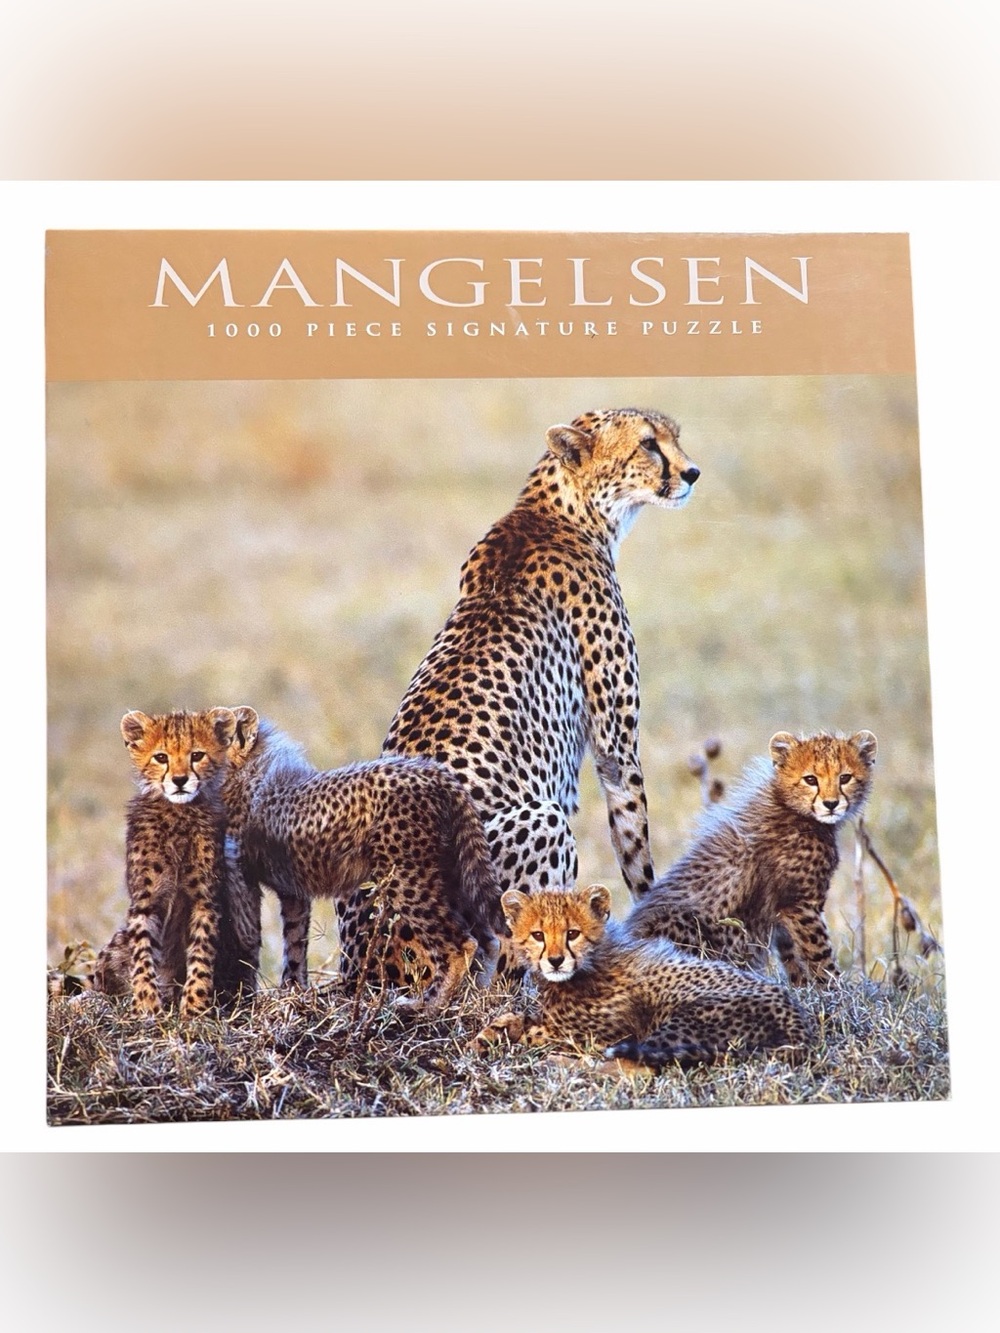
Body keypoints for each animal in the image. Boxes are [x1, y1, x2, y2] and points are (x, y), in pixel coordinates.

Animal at [92, 709, 253, 1018]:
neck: (178, 813)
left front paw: (194, 1008)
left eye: (197, 755)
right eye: (161, 757)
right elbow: (143, 954)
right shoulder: (146, 901)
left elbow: (201, 953)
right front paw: (146, 1005)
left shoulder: (205, 900)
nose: (179, 780)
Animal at [220, 706, 503, 1013]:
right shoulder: (291, 887)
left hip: (406, 876)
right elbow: (294, 940)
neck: (246, 770)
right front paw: (293, 991)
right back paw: (475, 998)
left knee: (459, 944)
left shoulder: (242, 877)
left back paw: (425, 1005)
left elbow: (247, 937)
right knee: (489, 940)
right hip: (451, 872)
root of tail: (435, 772)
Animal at [364, 408, 700, 976]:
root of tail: (369, 966)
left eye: (674, 436)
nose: (692, 472)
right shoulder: (615, 746)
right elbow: (635, 846)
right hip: (541, 824)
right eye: (649, 445)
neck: (564, 512)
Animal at [476, 884, 812, 1069]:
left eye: (572, 933)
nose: (556, 961)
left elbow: (533, 1030)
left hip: (685, 1019)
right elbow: (516, 1017)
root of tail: (798, 1020)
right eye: (538, 935)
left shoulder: (599, 1034)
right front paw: (485, 1037)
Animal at [626, 730, 879, 985]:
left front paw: (803, 987)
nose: (831, 804)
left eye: (845, 778)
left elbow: (792, 954)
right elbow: (820, 954)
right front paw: (837, 988)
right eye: (810, 779)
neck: (792, 809)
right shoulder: (800, 904)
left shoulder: (783, 911)